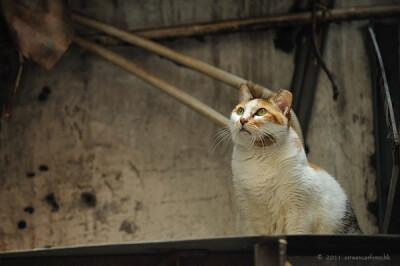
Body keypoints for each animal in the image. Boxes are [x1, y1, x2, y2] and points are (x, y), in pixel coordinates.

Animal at [228, 84, 362, 234]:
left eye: (261, 111)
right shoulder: (248, 216)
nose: (242, 120)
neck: (258, 155)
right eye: (240, 110)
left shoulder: (298, 213)